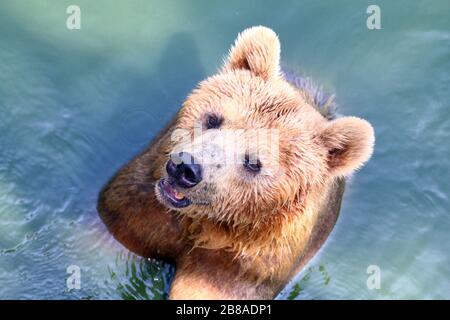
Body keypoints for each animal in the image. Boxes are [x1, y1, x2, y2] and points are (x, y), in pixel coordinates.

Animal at [97, 26, 372, 298]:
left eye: (254, 162)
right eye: (213, 119)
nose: (187, 168)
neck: (204, 224)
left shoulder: (245, 264)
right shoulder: (139, 207)